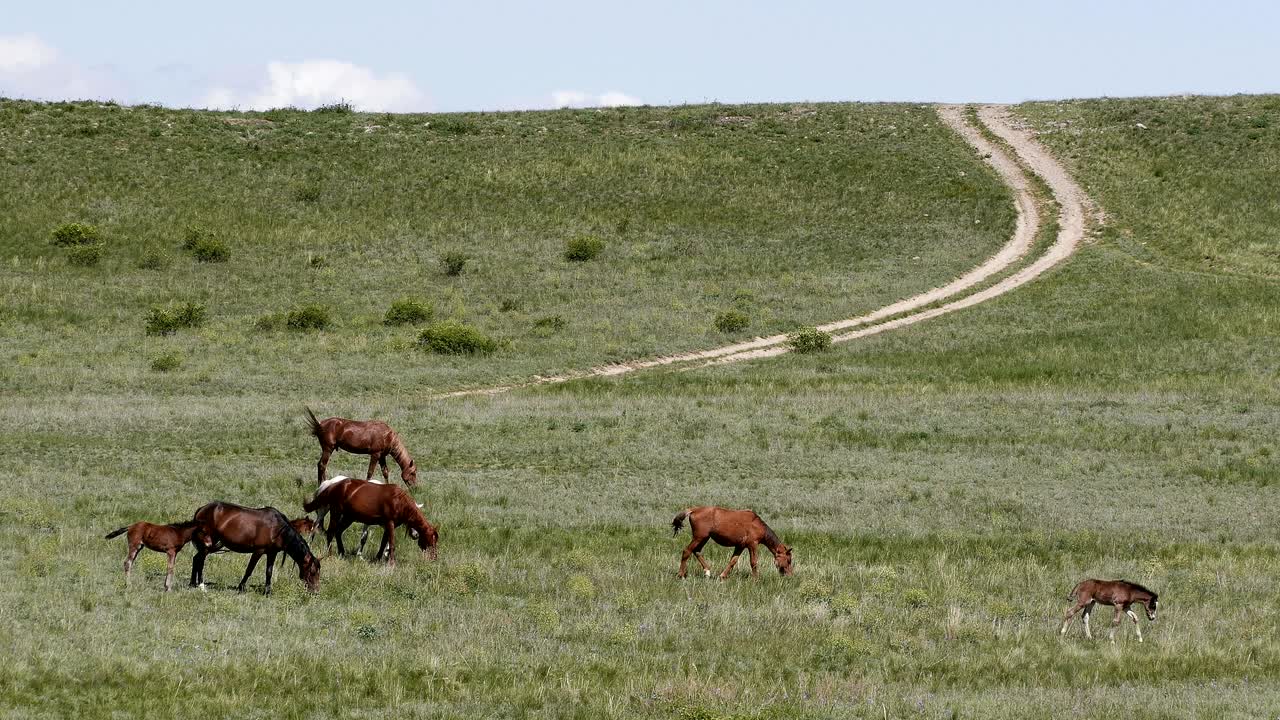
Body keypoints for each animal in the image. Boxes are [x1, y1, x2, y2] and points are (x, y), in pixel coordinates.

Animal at [188, 502, 320, 594]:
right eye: (313, 572)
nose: (315, 592)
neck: (277, 529)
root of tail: (202, 509)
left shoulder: (272, 553)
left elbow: (269, 572)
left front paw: (268, 591)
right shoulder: (258, 551)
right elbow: (249, 569)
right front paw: (241, 587)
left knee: (196, 559)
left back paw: (192, 583)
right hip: (208, 542)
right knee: (200, 561)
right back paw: (201, 585)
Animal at [303, 478, 438, 566]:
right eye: (431, 542)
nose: (434, 558)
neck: (399, 502)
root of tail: (333, 485)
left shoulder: (388, 526)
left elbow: (384, 543)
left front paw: (378, 559)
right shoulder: (390, 523)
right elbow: (391, 543)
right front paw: (391, 563)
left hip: (348, 517)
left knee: (338, 532)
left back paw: (342, 553)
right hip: (335, 513)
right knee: (329, 532)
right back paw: (330, 554)